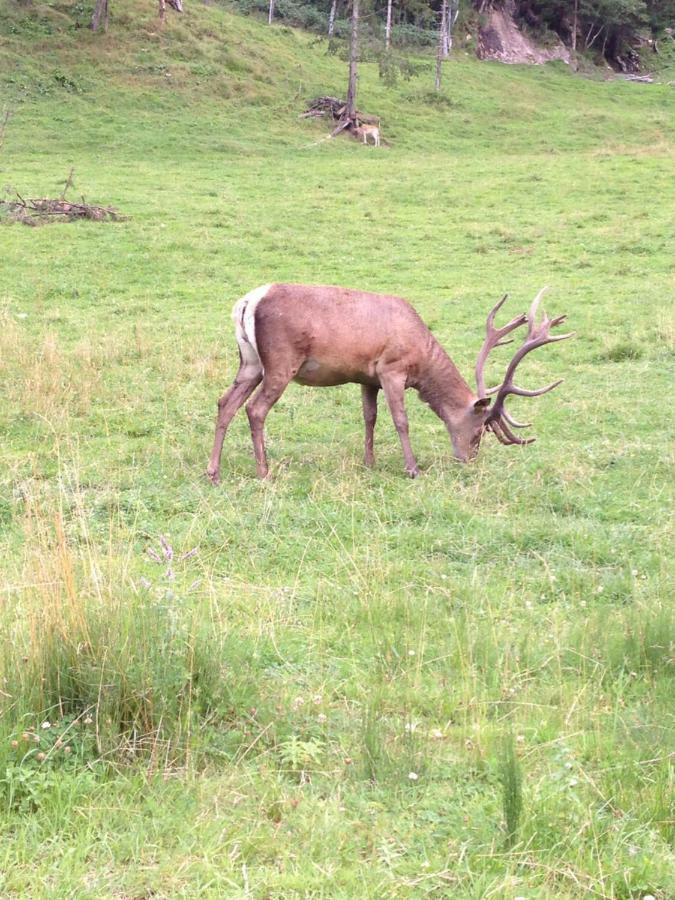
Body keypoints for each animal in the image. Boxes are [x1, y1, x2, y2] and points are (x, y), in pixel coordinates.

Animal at [205, 284, 572, 482]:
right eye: (480, 430)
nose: (469, 460)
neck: (420, 358)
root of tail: (247, 302)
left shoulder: (367, 377)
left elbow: (370, 417)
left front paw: (370, 463)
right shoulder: (392, 370)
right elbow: (400, 420)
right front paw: (412, 468)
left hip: (251, 362)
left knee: (225, 402)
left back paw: (214, 473)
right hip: (281, 361)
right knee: (255, 409)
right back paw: (264, 471)